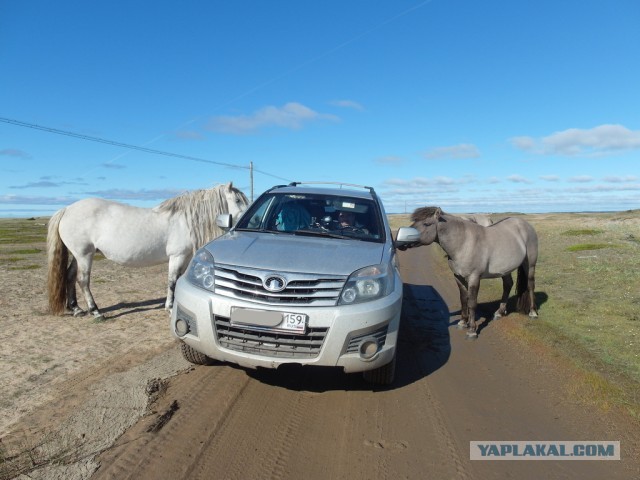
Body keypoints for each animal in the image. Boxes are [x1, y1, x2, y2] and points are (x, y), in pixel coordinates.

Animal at [47, 182, 248, 320]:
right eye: (237, 200)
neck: (184, 221)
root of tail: (66, 209)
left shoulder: (185, 258)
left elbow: (178, 282)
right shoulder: (177, 257)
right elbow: (172, 281)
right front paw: (169, 307)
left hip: (78, 255)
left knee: (70, 276)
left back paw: (76, 308)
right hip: (84, 255)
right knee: (83, 280)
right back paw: (95, 311)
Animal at [408, 206, 536, 338]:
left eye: (426, 223)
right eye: (413, 223)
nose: (403, 242)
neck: (463, 243)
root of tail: (524, 224)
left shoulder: (474, 277)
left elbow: (472, 302)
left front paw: (472, 330)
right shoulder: (458, 277)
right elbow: (464, 299)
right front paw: (463, 322)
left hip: (530, 265)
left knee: (530, 285)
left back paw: (532, 312)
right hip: (505, 269)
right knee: (508, 284)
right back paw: (500, 312)